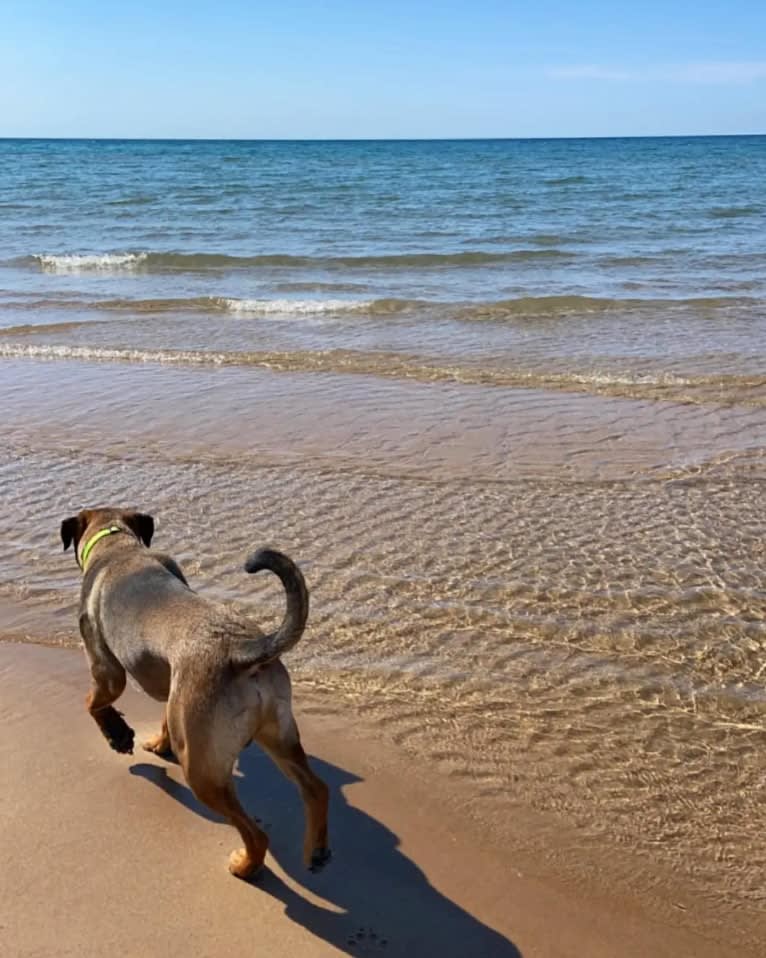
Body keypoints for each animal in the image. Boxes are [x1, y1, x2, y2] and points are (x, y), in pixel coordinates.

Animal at [61, 506, 332, 880]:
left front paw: (118, 735)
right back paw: (316, 850)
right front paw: (157, 743)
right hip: (278, 735)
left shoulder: (106, 671)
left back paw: (245, 865)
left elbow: (93, 703)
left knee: (256, 833)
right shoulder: (172, 686)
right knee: (317, 789)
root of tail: (242, 650)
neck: (118, 545)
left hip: (201, 769)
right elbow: (162, 718)